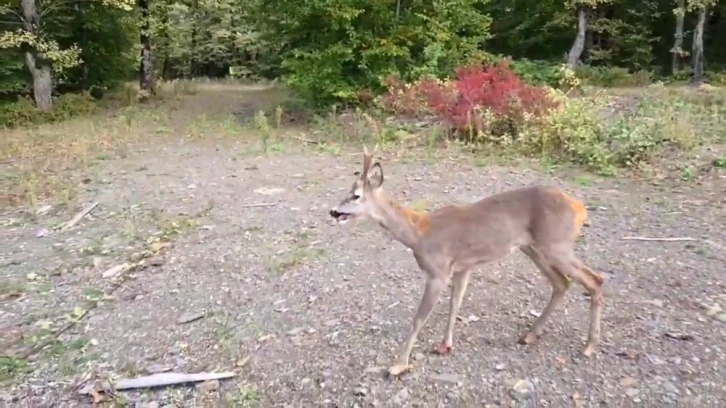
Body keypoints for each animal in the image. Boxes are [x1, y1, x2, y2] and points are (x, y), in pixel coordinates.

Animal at [332, 147, 608, 376]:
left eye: (356, 195)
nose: (333, 211)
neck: (419, 234)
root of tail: (580, 208)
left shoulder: (438, 271)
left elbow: (419, 318)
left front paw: (398, 365)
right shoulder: (462, 268)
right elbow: (455, 304)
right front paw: (445, 345)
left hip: (556, 245)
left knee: (595, 280)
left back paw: (590, 346)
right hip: (533, 248)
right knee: (561, 283)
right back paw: (529, 335)